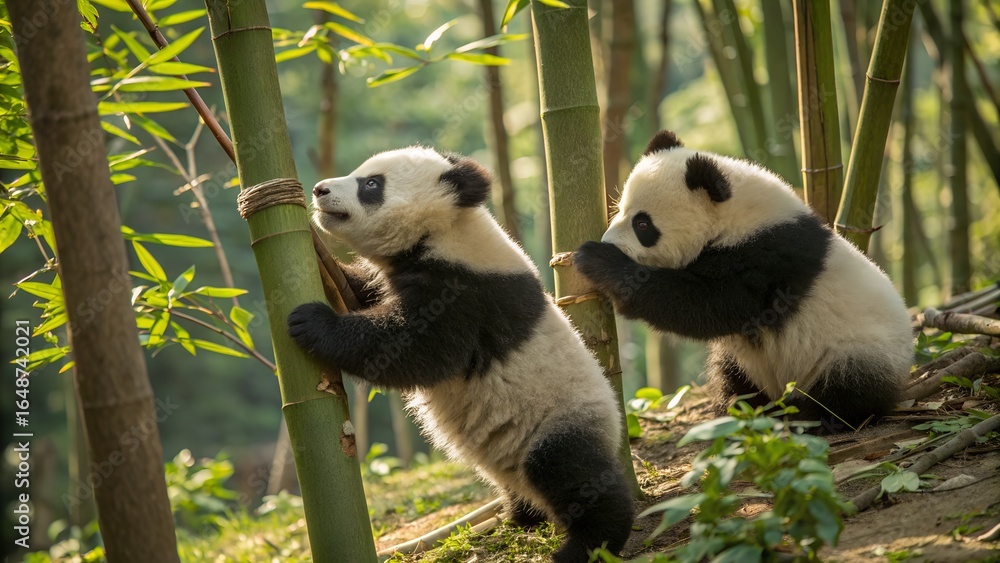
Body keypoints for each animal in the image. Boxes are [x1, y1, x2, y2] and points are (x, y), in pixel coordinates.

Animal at [287, 147, 634, 561]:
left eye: (371, 184)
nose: (320, 190)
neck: (446, 229)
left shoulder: (467, 291)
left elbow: (413, 348)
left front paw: (311, 321)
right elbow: (363, 292)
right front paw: (324, 263)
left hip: (561, 419)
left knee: (569, 473)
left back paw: (588, 544)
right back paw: (520, 516)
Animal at [574, 130, 913, 433]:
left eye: (643, 224)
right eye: (619, 210)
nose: (609, 241)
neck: (734, 216)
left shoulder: (766, 258)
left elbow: (705, 305)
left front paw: (598, 261)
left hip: (854, 349)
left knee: (847, 388)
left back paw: (810, 418)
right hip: (744, 361)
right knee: (730, 374)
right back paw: (741, 410)